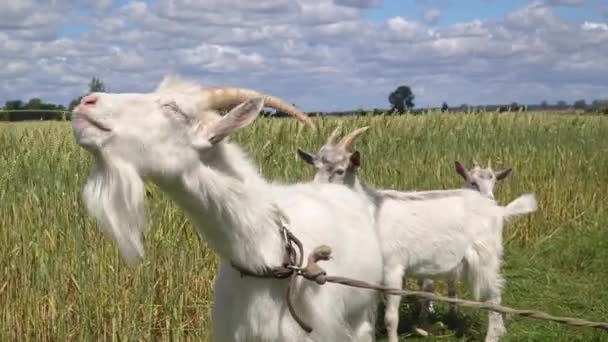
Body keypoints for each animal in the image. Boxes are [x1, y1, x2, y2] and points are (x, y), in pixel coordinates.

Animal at [296, 125, 540, 342]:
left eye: (340, 170)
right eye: (315, 166)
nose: (313, 190)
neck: (373, 211)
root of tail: (498, 209)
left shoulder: (393, 268)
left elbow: (390, 318)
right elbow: (369, 317)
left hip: (485, 257)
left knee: (494, 296)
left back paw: (493, 335)